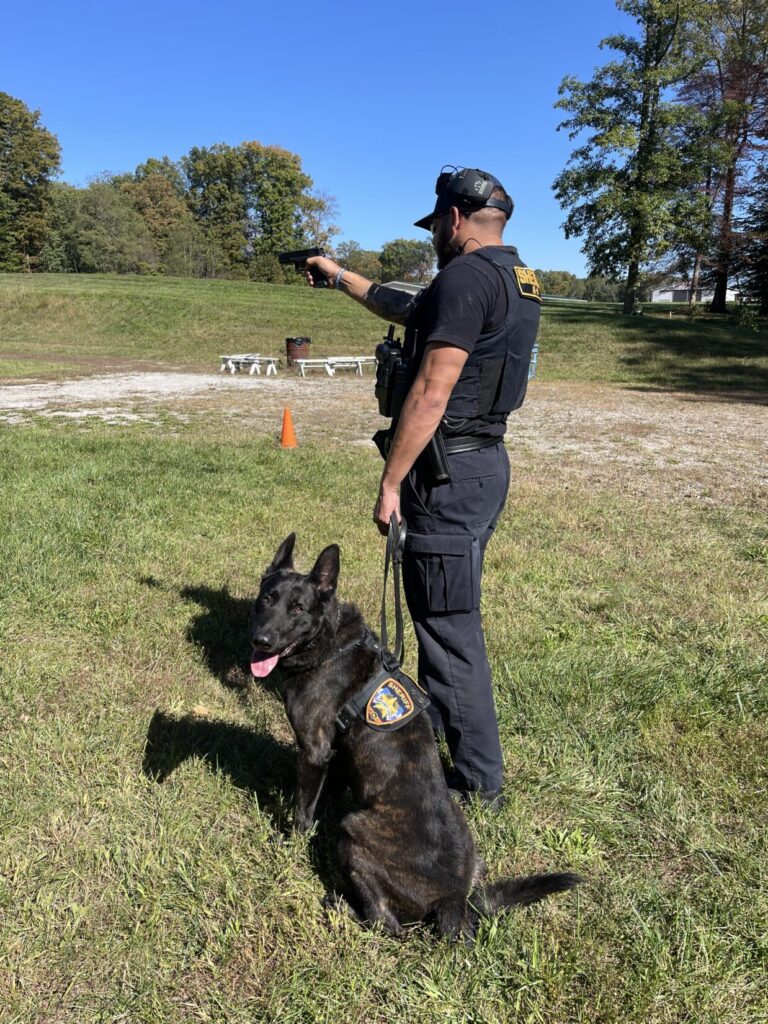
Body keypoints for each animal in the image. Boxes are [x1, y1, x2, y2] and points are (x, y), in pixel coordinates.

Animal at [249, 536, 581, 942]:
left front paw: (292, 839)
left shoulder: (314, 750)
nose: (260, 640)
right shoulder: (336, 753)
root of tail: (454, 900)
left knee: (385, 923)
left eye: (297, 608)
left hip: (354, 831)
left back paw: (343, 906)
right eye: (267, 598)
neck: (328, 644)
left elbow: (302, 811)